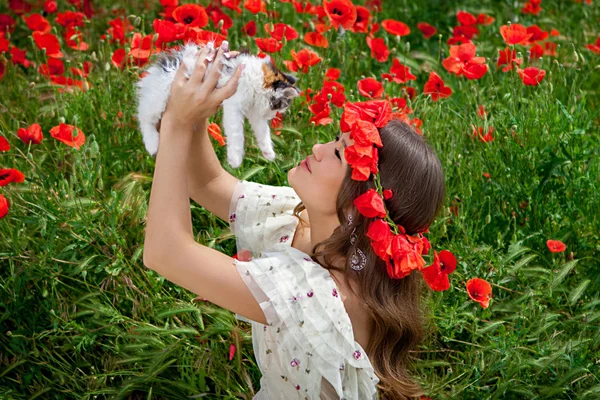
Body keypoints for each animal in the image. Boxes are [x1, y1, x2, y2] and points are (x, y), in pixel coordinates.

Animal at [136, 41, 300, 169]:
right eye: (279, 106)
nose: (272, 116)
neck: (258, 79)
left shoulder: (255, 112)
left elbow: (263, 132)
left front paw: (268, 152)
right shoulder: (234, 104)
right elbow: (237, 134)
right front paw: (235, 159)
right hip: (158, 98)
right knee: (144, 118)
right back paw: (152, 144)